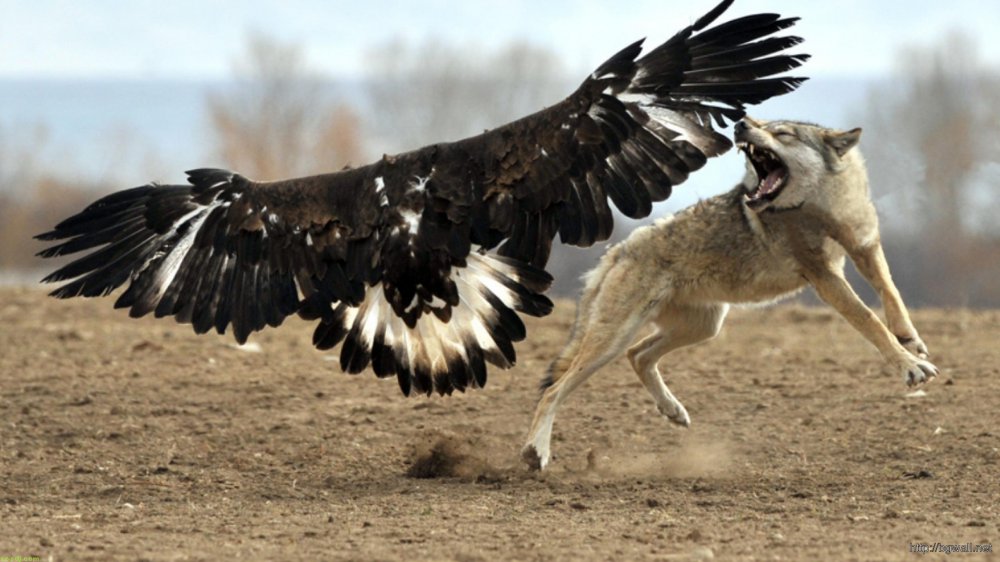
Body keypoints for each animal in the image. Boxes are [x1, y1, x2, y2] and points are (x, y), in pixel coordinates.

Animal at [522, 117, 938, 470]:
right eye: (766, 125)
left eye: (782, 132)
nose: (740, 123)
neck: (826, 207)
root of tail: (617, 251)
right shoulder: (825, 276)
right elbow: (869, 321)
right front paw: (910, 366)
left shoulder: (865, 246)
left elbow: (890, 292)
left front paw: (910, 340)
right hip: (615, 339)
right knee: (553, 390)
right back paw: (535, 452)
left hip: (704, 327)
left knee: (637, 355)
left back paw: (673, 410)